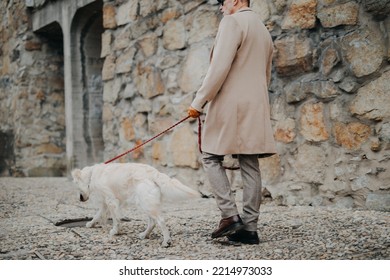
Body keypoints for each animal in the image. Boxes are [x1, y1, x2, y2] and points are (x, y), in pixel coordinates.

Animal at [71, 162, 201, 247]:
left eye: (77, 186)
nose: (80, 199)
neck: (92, 175)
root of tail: (154, 172)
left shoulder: (111, 201)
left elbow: (115, 219)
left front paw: (114, 231)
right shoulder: (105, 202)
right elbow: (97, 215)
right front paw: (91, 224)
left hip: (145, 203)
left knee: (160, 220)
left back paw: (166, 241)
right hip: (145, 203)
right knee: (152, 222)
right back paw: (144, 235)